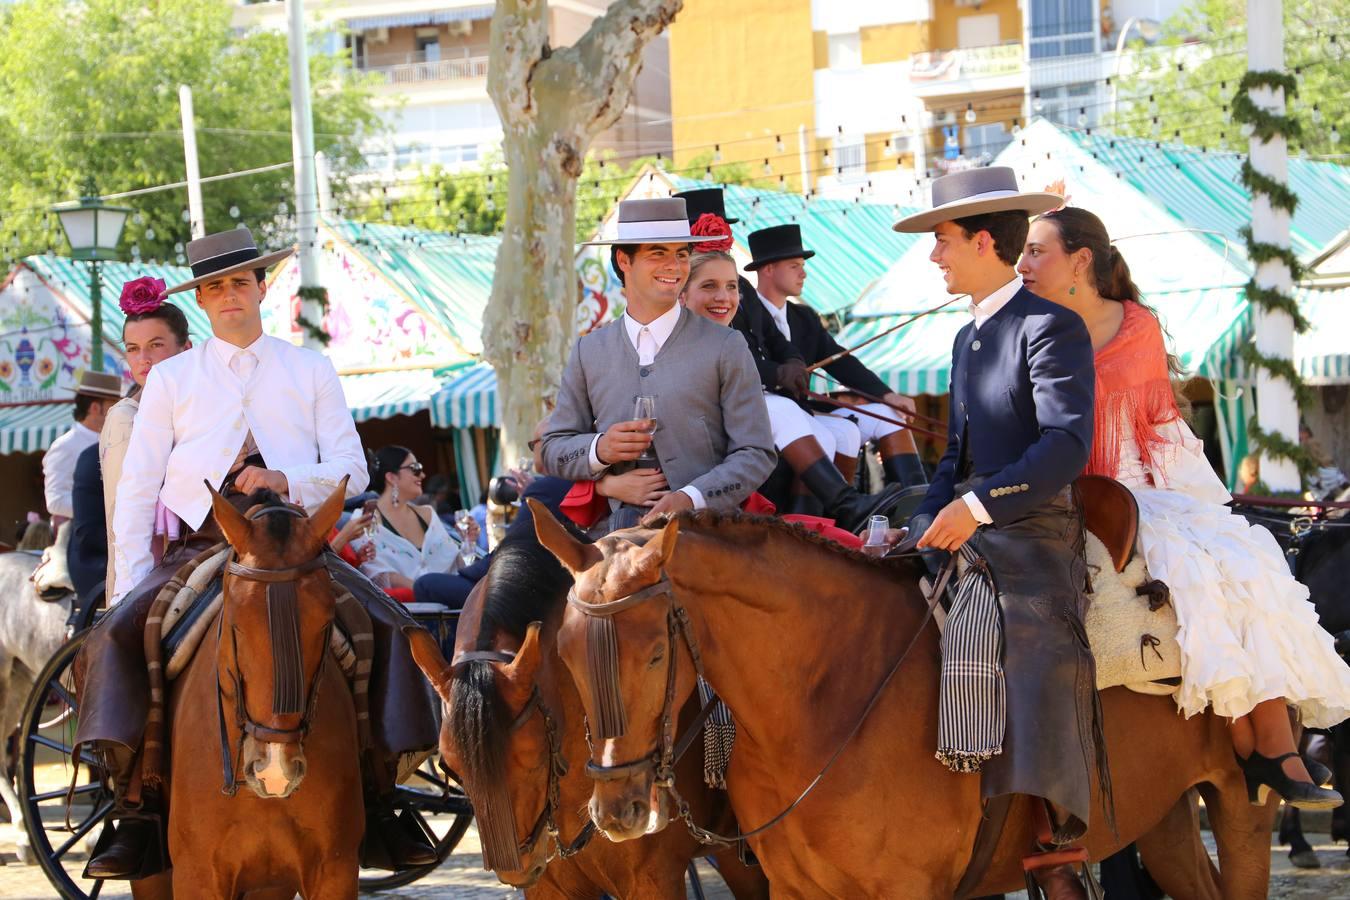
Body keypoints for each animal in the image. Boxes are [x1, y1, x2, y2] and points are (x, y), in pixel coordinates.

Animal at [529, 507, 1274, 900]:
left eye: (656, 653)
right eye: (564, 652)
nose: (617, 810)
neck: (827, 699)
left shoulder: (906, 891)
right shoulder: (798, 889)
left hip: (1239, 803)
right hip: (1166, 814)